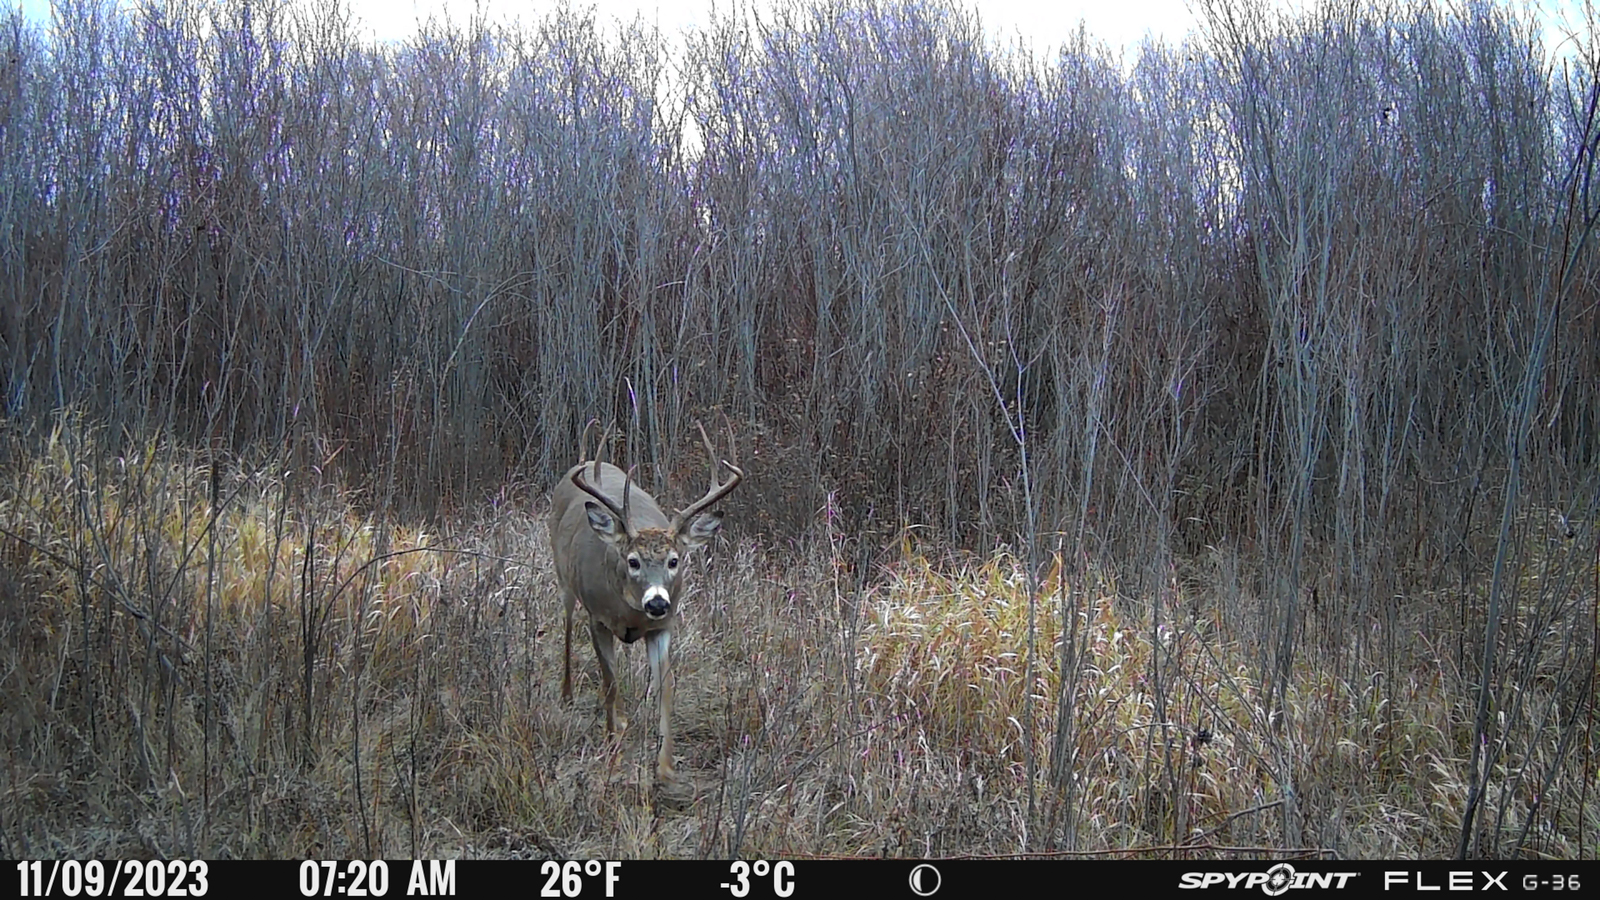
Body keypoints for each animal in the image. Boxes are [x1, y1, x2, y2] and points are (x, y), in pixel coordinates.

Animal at [549, 420, 742, 784]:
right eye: (633, 561)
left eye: (674, 560)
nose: (656, 603)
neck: (630, 612)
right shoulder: (597, 618)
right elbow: (609, 682)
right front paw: (612, 749)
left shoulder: (664, 626)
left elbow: (665, 686)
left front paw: (665, 768)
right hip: (563, 578)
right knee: (567, 625)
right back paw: (567, 695)